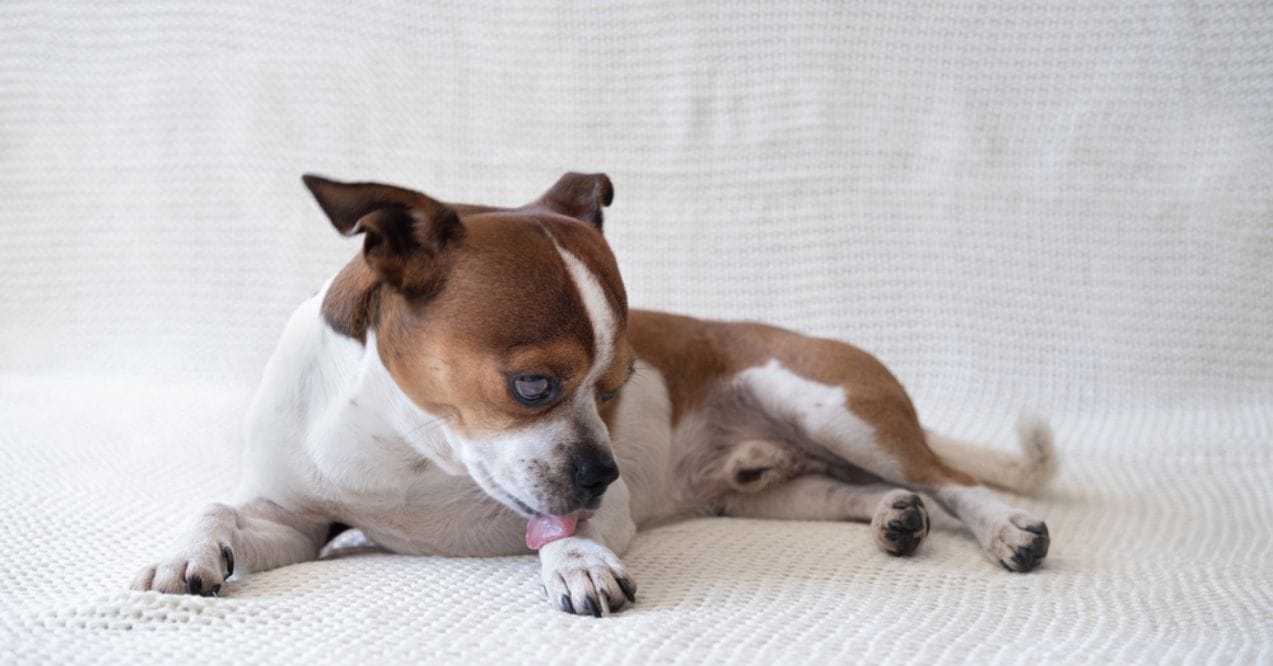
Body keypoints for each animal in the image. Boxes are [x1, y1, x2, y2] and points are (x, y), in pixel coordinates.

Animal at [129, 173, 1054, 621]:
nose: (605, 471)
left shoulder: (587, 507)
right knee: (850, 490)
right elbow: (220, 509)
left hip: (829, 407)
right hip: (775, 489)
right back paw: (892, 518)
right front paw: (187, 553)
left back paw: (1005, 529)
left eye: (616, 389)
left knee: (952, 481)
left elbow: (562, 533)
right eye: (533, 384)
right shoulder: (299, 523)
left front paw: (575, 563)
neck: (411, 451)